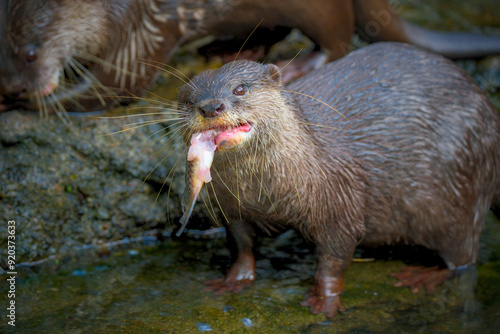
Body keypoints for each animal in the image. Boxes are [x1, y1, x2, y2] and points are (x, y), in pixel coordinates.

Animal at [176, 43, 500, 318]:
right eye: (189, 101)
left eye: (240, 88)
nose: (210, 106)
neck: (267, 193)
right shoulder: (233, 208)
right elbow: (241, 245)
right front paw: (234, 279)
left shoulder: (340, 204)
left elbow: (334, 260)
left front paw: (325, 300)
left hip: (457, 195)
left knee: (464, 257)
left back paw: (421, 276)